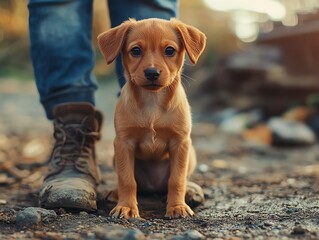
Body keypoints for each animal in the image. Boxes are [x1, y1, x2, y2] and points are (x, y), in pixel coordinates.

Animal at [98, 17, 208, 218]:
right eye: (135, 50)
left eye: (170, 50)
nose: (152, 73)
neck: (152, 102)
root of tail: (153, 187)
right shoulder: (123, 143)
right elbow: (127, 180)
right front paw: (126, 206)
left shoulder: (180, 143)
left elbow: (177, 179)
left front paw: (177, 206)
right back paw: (114, 193)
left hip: (191, 153)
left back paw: (190, 191)